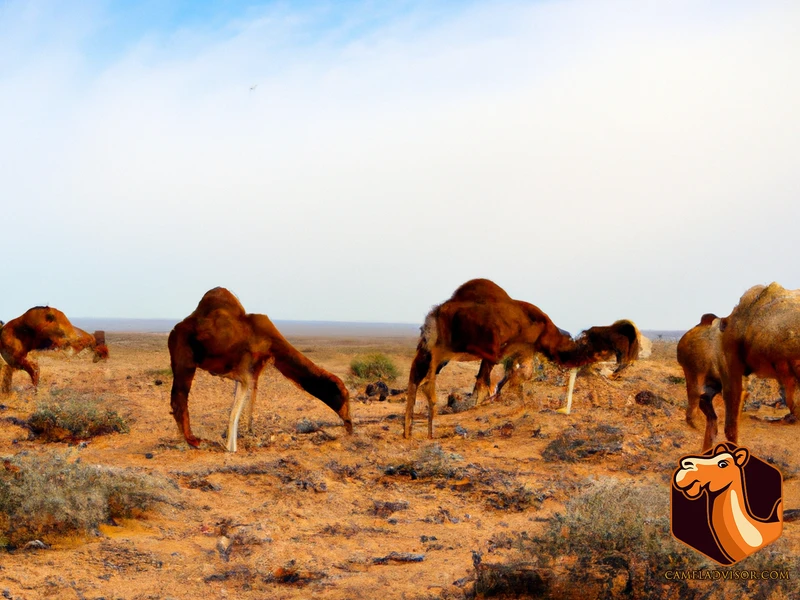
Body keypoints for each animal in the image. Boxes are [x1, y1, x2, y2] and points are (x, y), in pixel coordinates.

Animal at [169, 288, 354, 452]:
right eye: (343, 396)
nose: (349, 424)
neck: (272, 342)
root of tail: (175, 329)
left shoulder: (256, 368)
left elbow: (250, 398)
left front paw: (249, 433)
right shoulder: (243, 369)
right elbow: (236, 409)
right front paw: (231, 449)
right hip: (184, 358)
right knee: (179, 398)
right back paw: (194, 441)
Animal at [404, 278, 640, 438]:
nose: (620, 366)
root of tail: (435, 314)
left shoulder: (522, 351)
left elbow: (514, 376)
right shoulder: (498, 351)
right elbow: (489, 384)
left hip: (429, 349)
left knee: (415, 378)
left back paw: (408, 433)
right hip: (443, 349)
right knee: (427, 385)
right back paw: (429, 433)